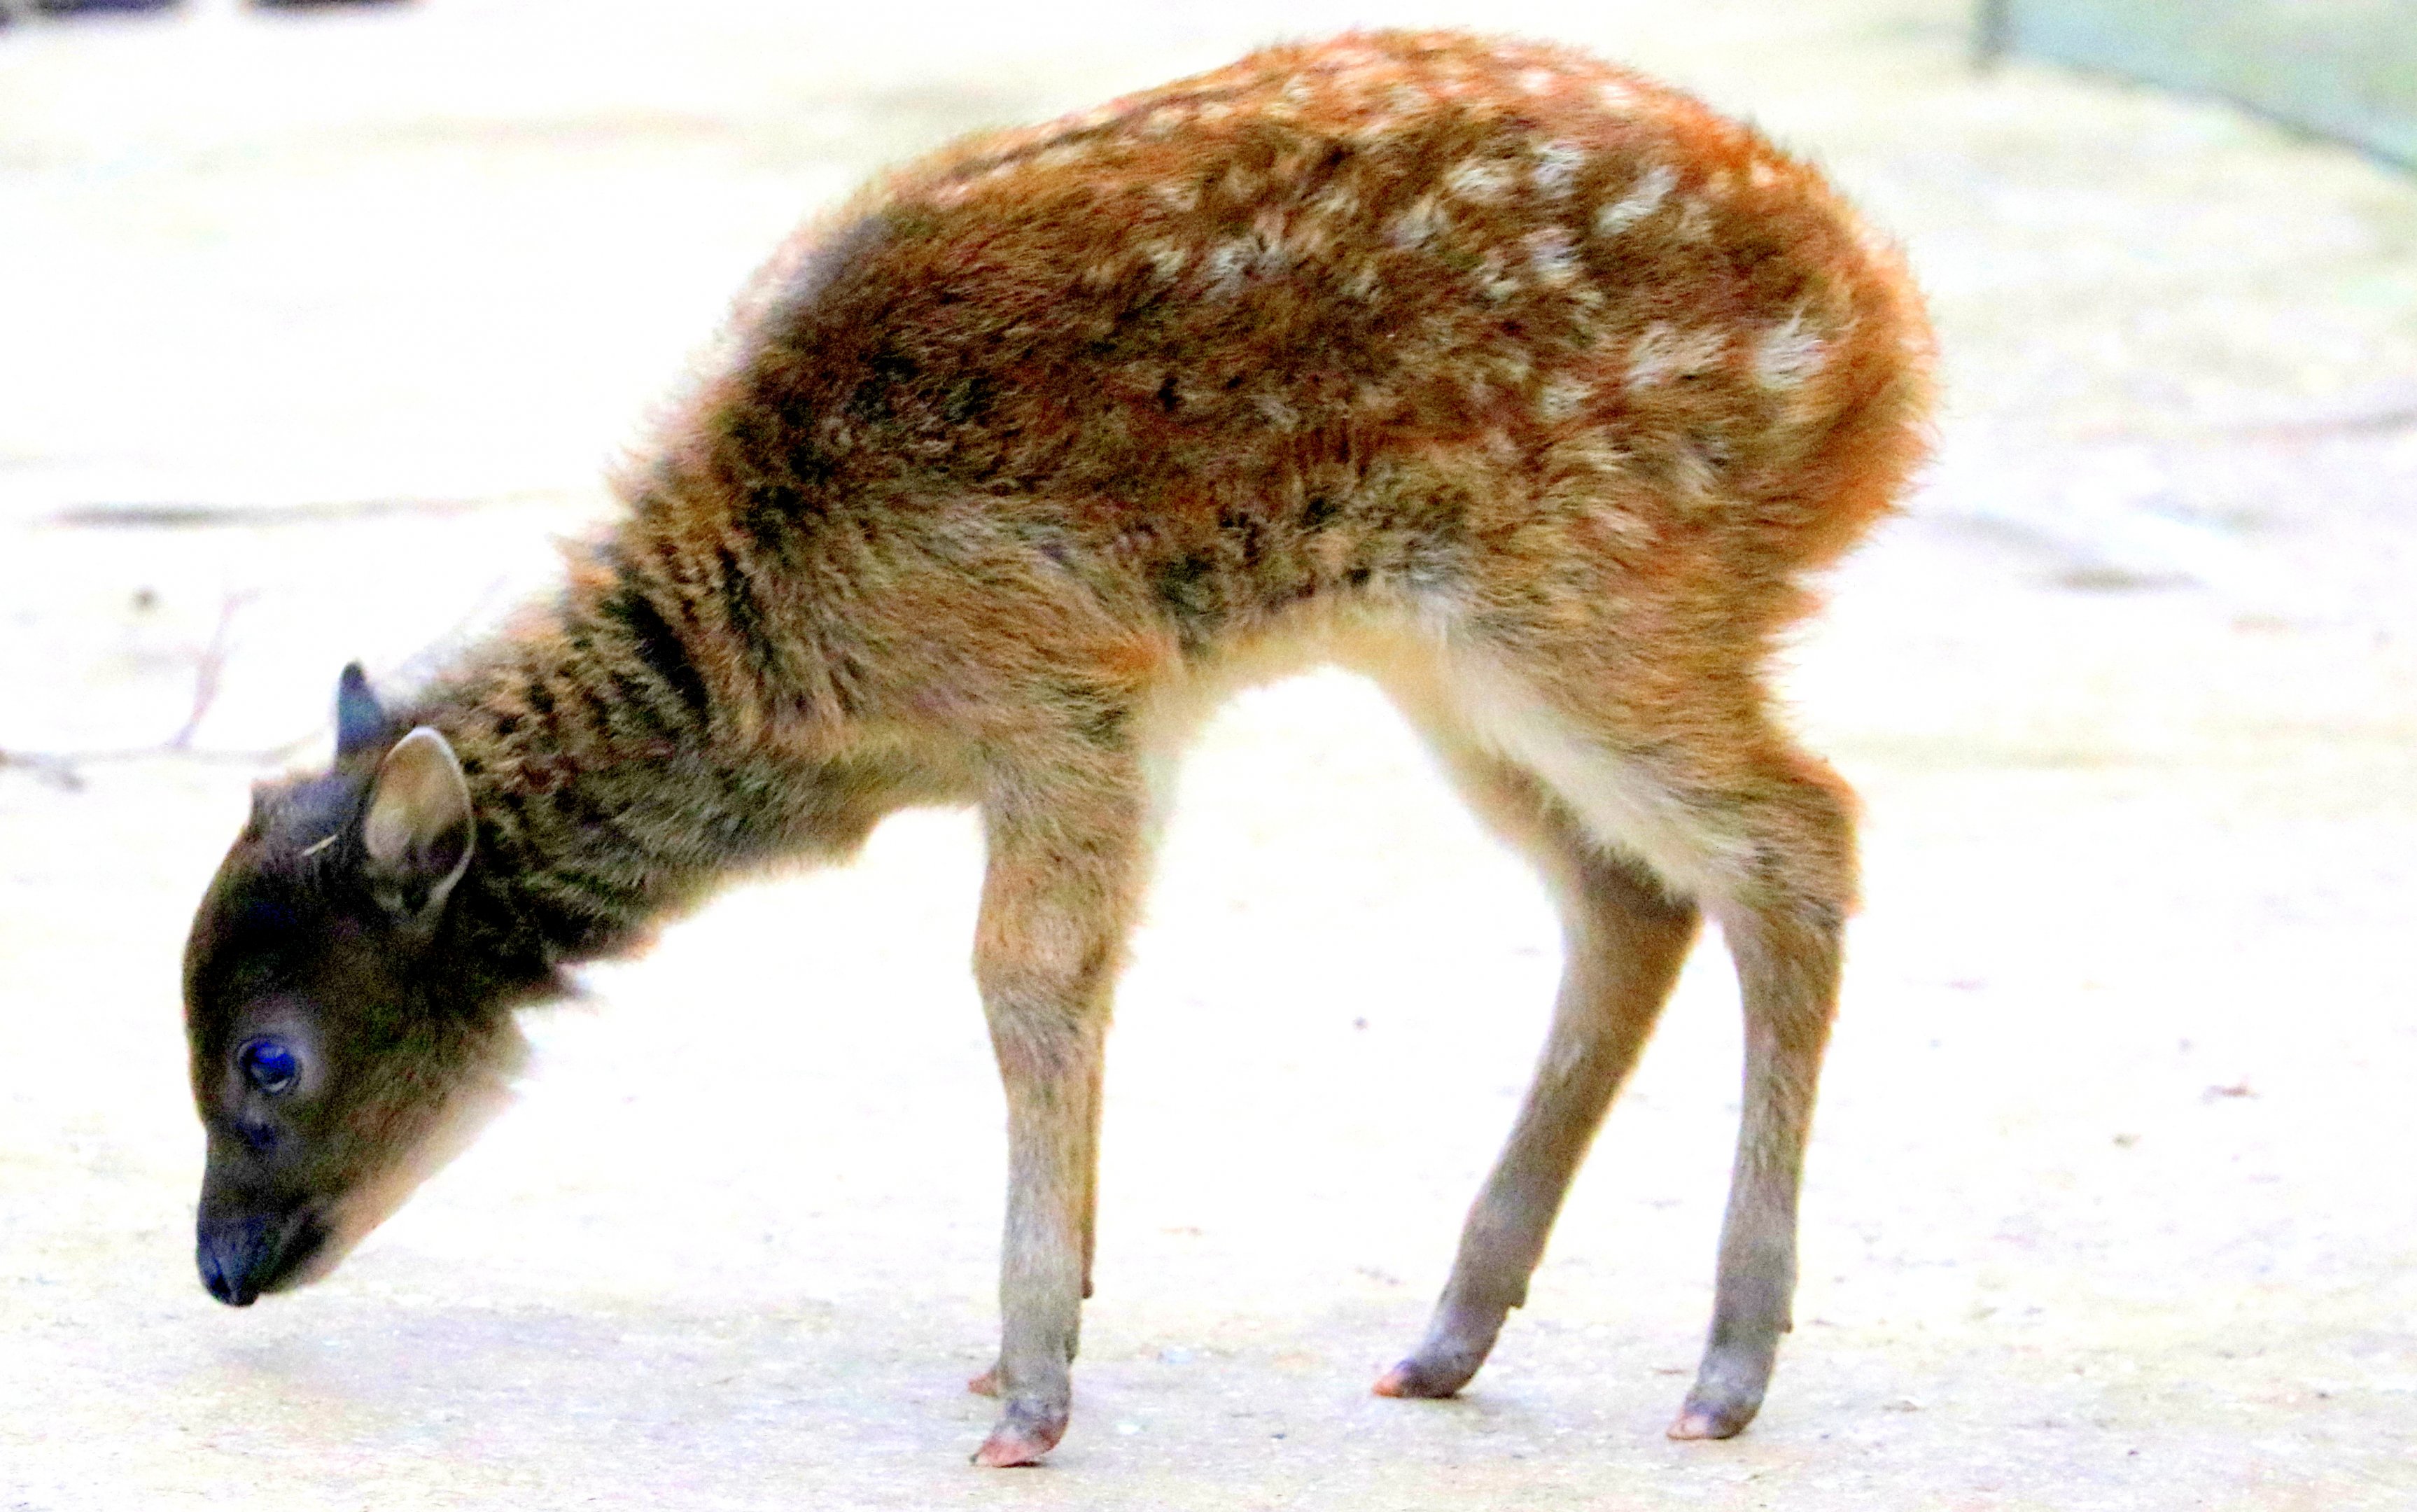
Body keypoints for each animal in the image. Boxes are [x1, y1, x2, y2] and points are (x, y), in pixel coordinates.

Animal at [181, 29, 1933, 1467]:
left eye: (269, 1057)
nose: (221, 1267)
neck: (781, 661)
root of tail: (1886, 354)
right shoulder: (1115, 719)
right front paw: (1042, 1333)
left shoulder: (1064, 694)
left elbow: (1024, 979)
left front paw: (1028, 1392)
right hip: (1445, 655)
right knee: (1628, 892)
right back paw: (1448, 1340)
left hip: (1601, 584)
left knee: (1796, 836)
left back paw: (1724, 1370)